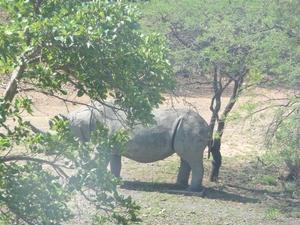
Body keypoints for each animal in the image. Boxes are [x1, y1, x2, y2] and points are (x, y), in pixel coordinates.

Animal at [37, 101, 211, 192]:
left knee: (191, 158)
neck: (82, 121)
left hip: (192, 128)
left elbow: (97, 163)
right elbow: (115, 164)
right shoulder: (113, 146)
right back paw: (179, 186)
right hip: (186, 128)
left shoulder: (104, 145)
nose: (47, 151)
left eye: (58, 138)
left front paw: (86, 182)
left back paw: (191, 191)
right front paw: (114, 181)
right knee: (185, 156)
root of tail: (207, 125)